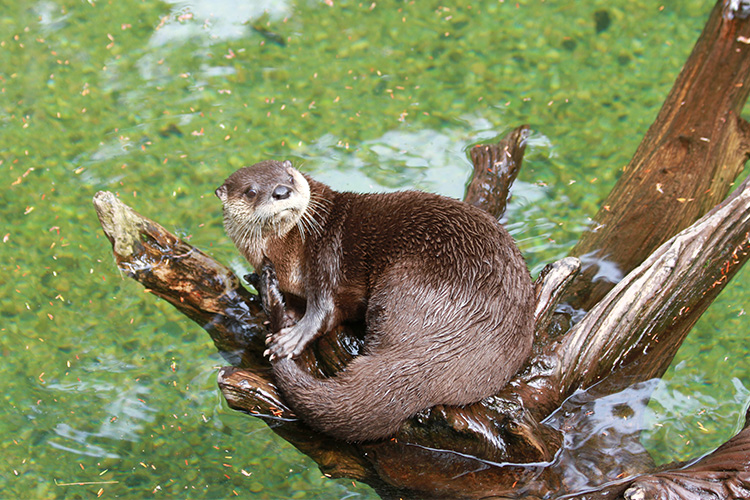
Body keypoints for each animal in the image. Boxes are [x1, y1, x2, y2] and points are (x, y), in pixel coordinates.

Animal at [214, 159, 536, 442]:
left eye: (289, 178)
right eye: (251, 191)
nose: (281, 191)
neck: (286, 251)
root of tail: (448, 344)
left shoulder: (325, 253)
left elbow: (323, 311)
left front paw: (290, 338)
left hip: (404, 280)